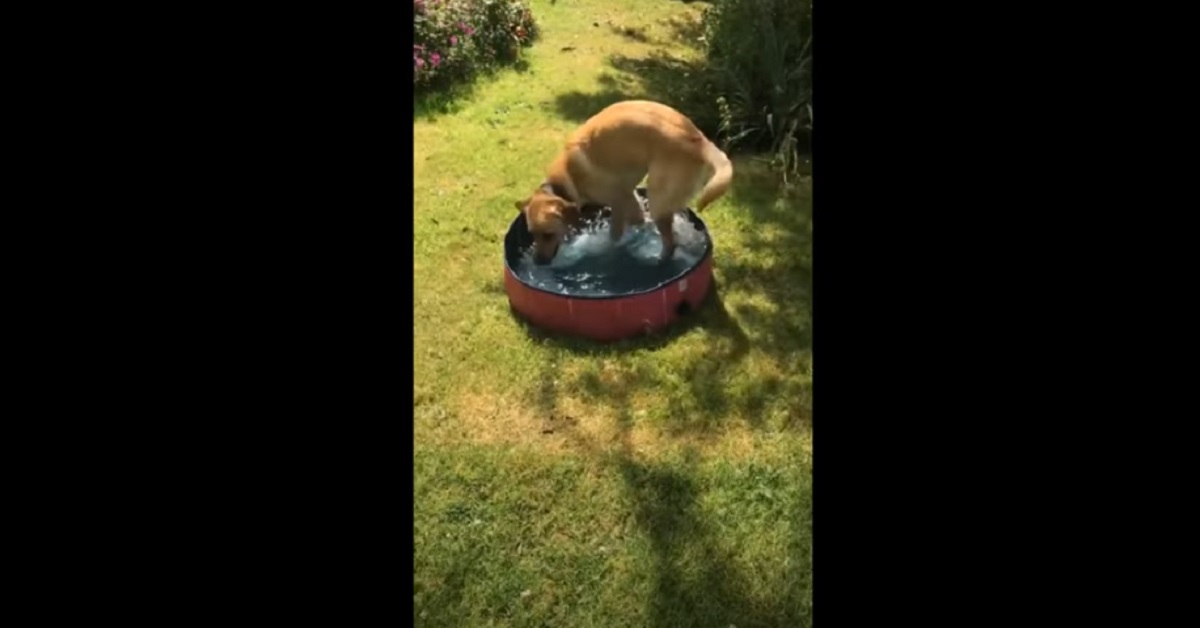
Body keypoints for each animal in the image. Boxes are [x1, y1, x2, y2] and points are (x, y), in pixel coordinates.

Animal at [513, 99, 729, 265]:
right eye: (532, 234)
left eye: (548, 234)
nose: (537, 262)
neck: (564, 183)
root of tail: (699, 140)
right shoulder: (629, 196)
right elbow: (637, 220)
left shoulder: (618, 201)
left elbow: (614, 236)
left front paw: (607, 248)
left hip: (658, 198)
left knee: (670, 243)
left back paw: (659, 260)